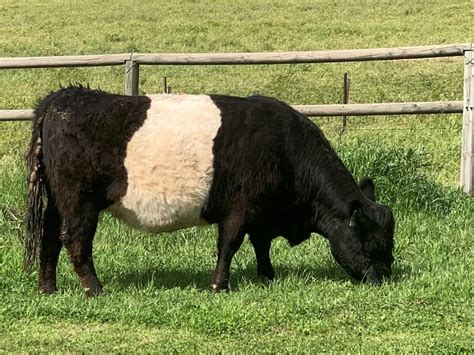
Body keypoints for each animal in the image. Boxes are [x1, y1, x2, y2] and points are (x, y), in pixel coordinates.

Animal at [25, 87, 396, 298]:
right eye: (371, 243)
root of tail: (62, 97)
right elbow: (230, 244)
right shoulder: (240, 208)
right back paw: (95, 289)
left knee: (49, 239)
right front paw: (220, 285)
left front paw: (268, 276)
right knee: (74, 240)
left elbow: (260, 245)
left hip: (55, 201)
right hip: (79, 200)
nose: (384, 279)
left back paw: (48, 288)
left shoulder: (261, 213)